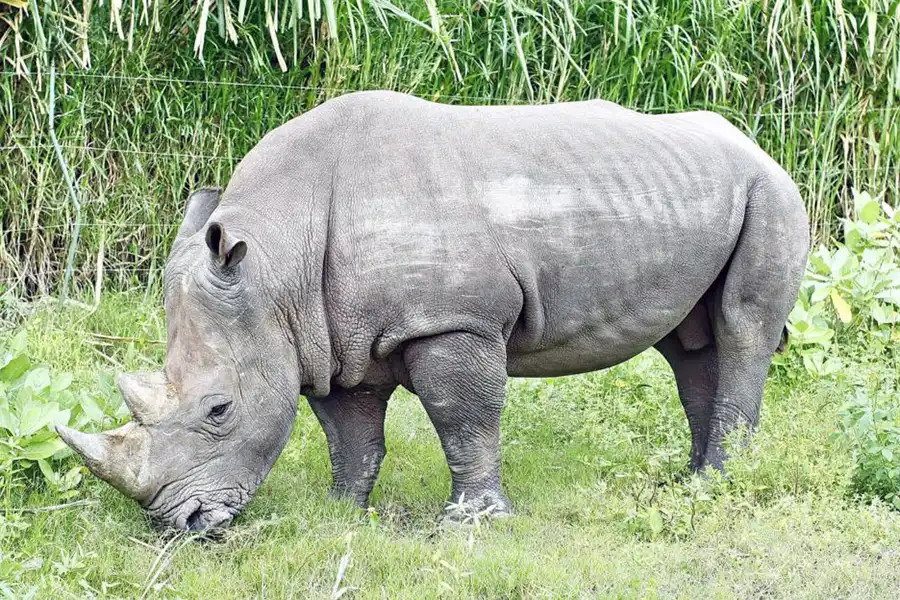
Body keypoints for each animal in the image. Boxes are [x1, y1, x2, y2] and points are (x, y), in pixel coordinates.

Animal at [57, 91, 809, 531]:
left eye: (219, 410)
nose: (178, 524)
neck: (275, 264)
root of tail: (755, 143)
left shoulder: (452, 319)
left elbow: (462, 415)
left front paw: (472, 525)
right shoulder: (327, 337)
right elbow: (349, 432)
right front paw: (340, 515)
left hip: (771, 190)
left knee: (742, 329)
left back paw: (722, 481)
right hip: (693, 191)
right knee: (690, 344)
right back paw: (693, 481)